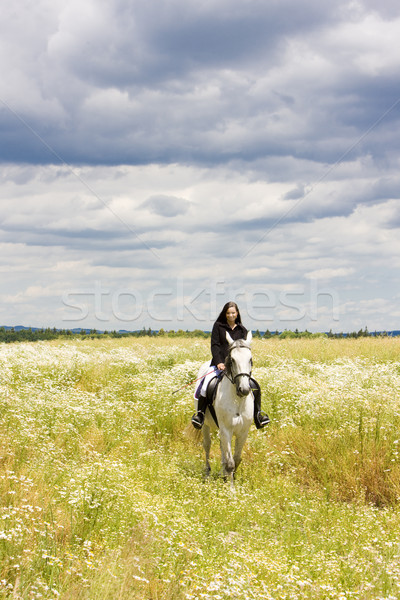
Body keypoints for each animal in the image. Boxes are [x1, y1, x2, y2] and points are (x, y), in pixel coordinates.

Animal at [196, 330, 255, 486]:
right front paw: (231, 489)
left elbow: (236, 459)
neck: (238, 400)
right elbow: (230, 463)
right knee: (207, 445)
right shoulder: (226, 430)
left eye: (250, 360)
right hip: (206, 426)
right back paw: (208, 473)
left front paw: (229, 479)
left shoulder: (243, 432)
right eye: (232, 360)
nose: (244, 390)